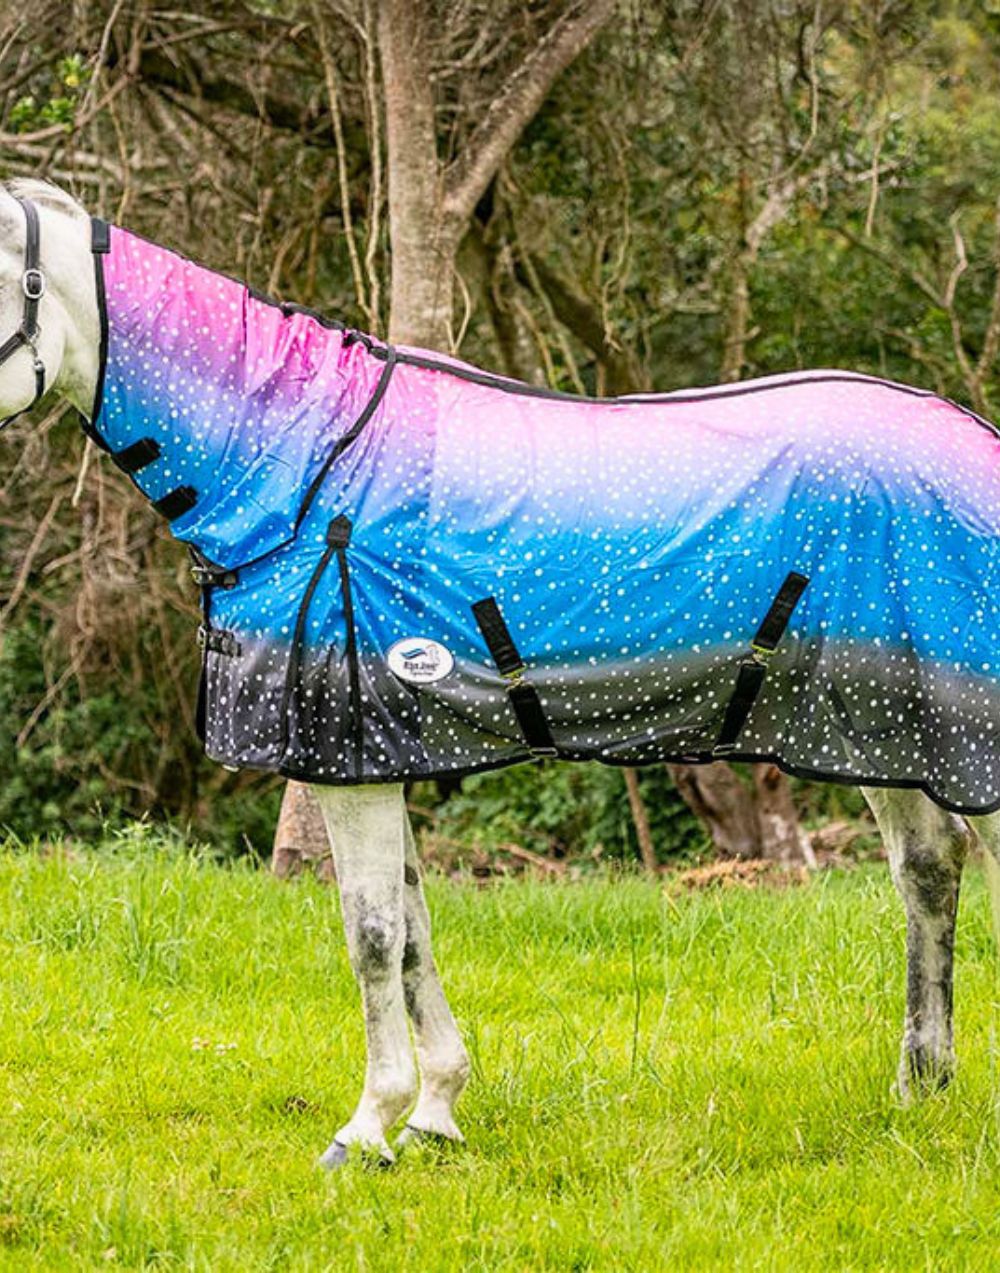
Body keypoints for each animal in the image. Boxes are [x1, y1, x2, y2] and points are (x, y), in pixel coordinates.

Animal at [1, 178, 998, 1168]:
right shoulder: (379, 757)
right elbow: (411, 932)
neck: (303, 469)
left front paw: (367, 1128)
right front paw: (435, 1111)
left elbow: (370, 935)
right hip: (875, 731)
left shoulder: (345, 769)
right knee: (929, 867)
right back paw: (920, 1085)